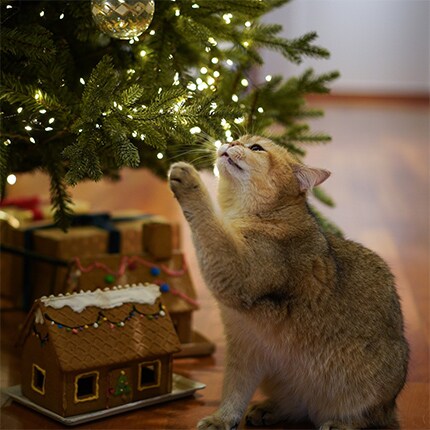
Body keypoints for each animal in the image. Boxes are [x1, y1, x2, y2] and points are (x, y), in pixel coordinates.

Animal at [166, 135, 408, 430]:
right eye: (238, 139)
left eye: (256, 148)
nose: (230, 142)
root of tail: (392, 407)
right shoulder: (244, 346)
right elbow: (234, 389)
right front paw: (222, 418)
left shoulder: (237, 274)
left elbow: (210, 227)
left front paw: (189, 181)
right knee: (298, 407)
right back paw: (268, 410)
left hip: (368, 393)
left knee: (370, 420)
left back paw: (340, 424)